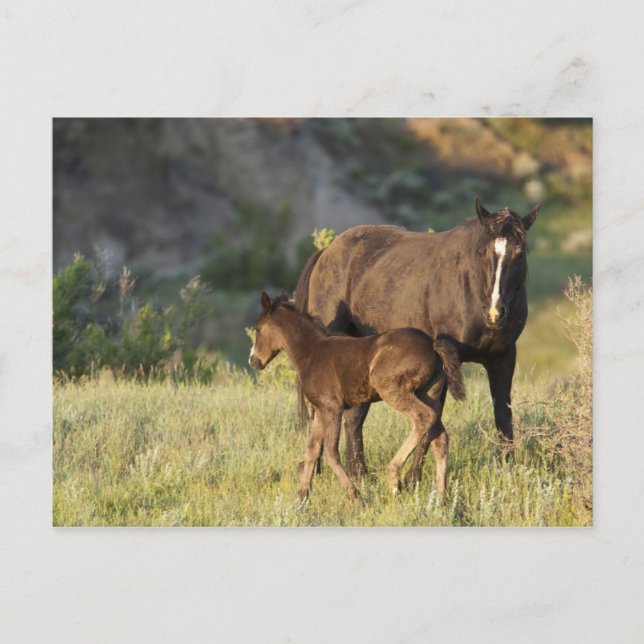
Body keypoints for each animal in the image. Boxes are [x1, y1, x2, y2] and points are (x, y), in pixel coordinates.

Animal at [249, 291, 465, 501]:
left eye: (258, 329)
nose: (253, 361)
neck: (311, 352)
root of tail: (433, 345)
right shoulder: (321, 409)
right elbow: (312, 449)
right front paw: (302, 497)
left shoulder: (332, 408)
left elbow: (330, 452)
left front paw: (355, 495)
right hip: (430, 393)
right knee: (439, 438)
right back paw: (441, 497)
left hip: (392, 390)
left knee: (423, 417)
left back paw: (394, 478)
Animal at [294, 198, 539, 485]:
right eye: (482, 253)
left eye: (519, 252)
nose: (494, 312)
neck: (471, 287)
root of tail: (327, 252)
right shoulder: (446, 360)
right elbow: (434, 416)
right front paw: (413, 478)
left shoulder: (503, 359)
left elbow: (503, 414)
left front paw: (507, 471)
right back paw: (317, 470)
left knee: (354, 416)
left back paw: (359, 472)